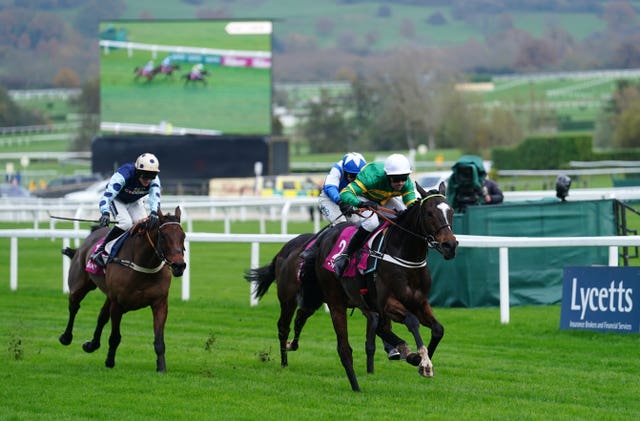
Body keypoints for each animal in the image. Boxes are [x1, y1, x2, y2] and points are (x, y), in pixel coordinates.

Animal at [58, 207, 185, 370]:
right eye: (163, 236)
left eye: (183, 236)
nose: (179, 266)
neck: (143, 264)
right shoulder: (118, 304)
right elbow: (115, 337)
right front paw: (110, 361)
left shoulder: (160, 303)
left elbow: (159, 340)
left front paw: (161, 368)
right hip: (79, 285)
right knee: (74, 306)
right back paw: (66, 337)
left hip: (109, 295)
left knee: (101, 316)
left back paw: (91, 345)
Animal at [304, 182, 458, 392]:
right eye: (429, 213)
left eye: (451, 211)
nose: (450, 245)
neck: (406, 257)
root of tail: (325, 237)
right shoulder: (388, 303)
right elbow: (412, 321)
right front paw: (423, 361)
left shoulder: (419, 302)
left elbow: (438, 329)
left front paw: (422, 360)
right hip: (336, 303)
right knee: (344, 349)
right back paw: (356, 386)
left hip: (364, 302)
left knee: (379, 327)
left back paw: (403, 350)